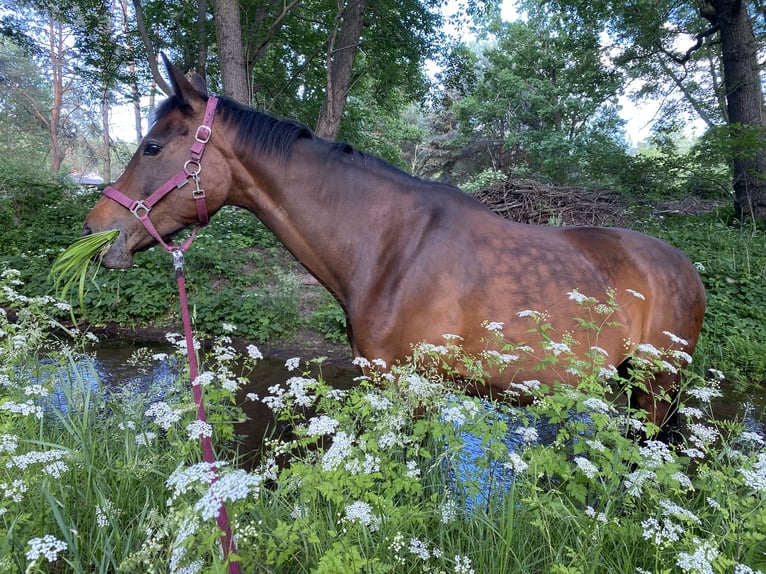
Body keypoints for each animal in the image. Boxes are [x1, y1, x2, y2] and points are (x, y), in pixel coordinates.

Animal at [82, 59, 708, 436]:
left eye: (153, 145)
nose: (95, 231)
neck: (390, 250)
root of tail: (687, 269)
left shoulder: (411, 390)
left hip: (657, 389)